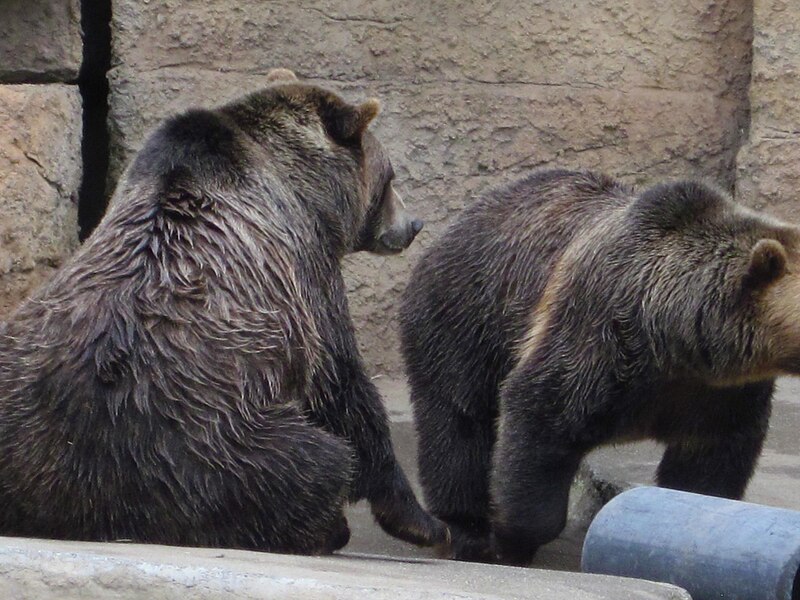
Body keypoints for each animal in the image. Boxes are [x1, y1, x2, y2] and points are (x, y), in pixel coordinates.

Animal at [0, 68, 446, 556]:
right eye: (390, 179)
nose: (414, 224)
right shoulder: (308, 276)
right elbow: (343, 388)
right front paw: (422, 520)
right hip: (210, 440)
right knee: (314, 459)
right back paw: (328, 527)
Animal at [400, 170, 800, 568]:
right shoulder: (603, 337)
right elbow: (540, 415)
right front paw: (510, 540)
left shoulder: (719, 395)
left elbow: (710, 463)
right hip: (467, 314)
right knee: (457, 420)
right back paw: (465, 528)